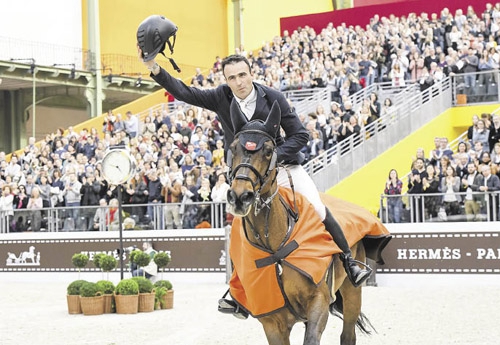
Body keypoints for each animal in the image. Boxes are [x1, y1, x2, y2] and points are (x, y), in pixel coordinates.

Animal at [225, 100, 376, 344]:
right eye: (233, 148)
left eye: (269, 151)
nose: (240, 197)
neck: (274, 247)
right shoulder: (272, 322)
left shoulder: (318, 303)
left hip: (352, 291)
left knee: (348, 334)